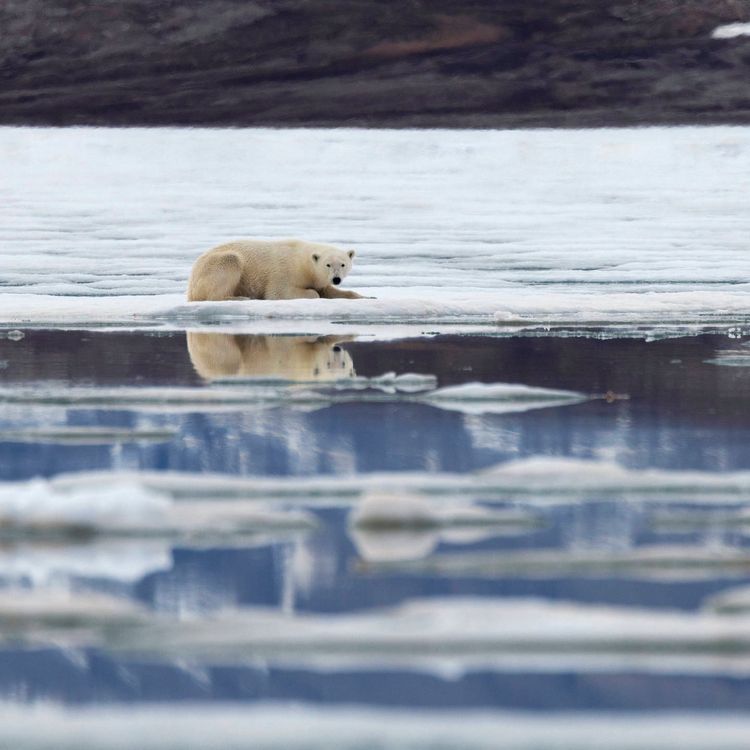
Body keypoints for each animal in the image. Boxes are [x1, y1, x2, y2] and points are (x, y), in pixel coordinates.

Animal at [187, 239, 366, 302]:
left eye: (342, 264)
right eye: (328, 265)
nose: (336, 279)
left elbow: (328, 290)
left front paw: (363, 296)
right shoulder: (284, 272)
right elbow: (278, 292)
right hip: (215, 265)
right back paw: (239, 298)